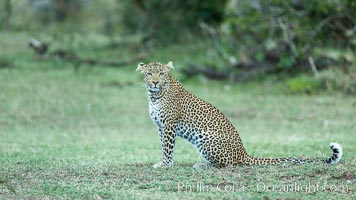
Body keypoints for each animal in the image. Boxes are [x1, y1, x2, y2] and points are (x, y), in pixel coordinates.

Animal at [136, 61, 342, 169]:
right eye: (149, 74)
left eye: (161, 73)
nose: (155, 82)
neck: (154, 95)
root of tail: (244, 152)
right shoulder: (162, 127)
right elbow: (165, 147)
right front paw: (165, 163)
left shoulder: (169, 125)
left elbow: (167, 148)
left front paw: (165, 165)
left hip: (205, 138)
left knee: (227, 164)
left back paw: (202, 165)